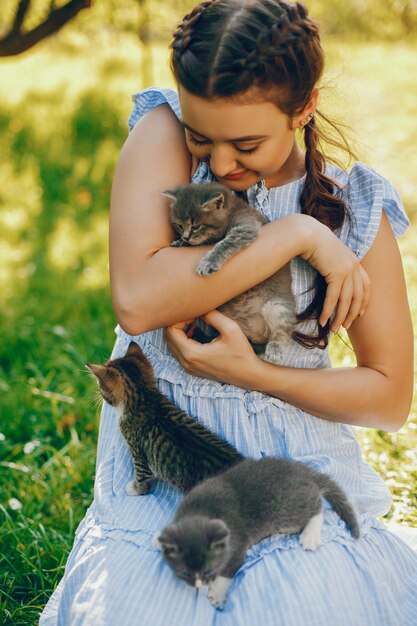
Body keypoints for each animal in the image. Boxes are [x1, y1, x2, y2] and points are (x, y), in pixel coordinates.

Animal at [158, 456, 360, 608]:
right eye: (184, 573)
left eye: (209, 570)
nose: (199, 585)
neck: (202, 511)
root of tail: (300, 469)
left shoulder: (238, 541)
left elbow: (230, 569)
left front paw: (217, 592)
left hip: (285, 508)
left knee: (316, 504)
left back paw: (310, 534)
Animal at [162, 180, 296, 364]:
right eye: (179, 225)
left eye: (196, 226)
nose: (186, 236)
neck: (231, 210)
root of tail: (255, 334)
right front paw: (180, 243)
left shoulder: (247, 227)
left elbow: (225, 243)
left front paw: (208, 262)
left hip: (277, 305)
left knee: (283, 330)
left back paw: (276, 348)